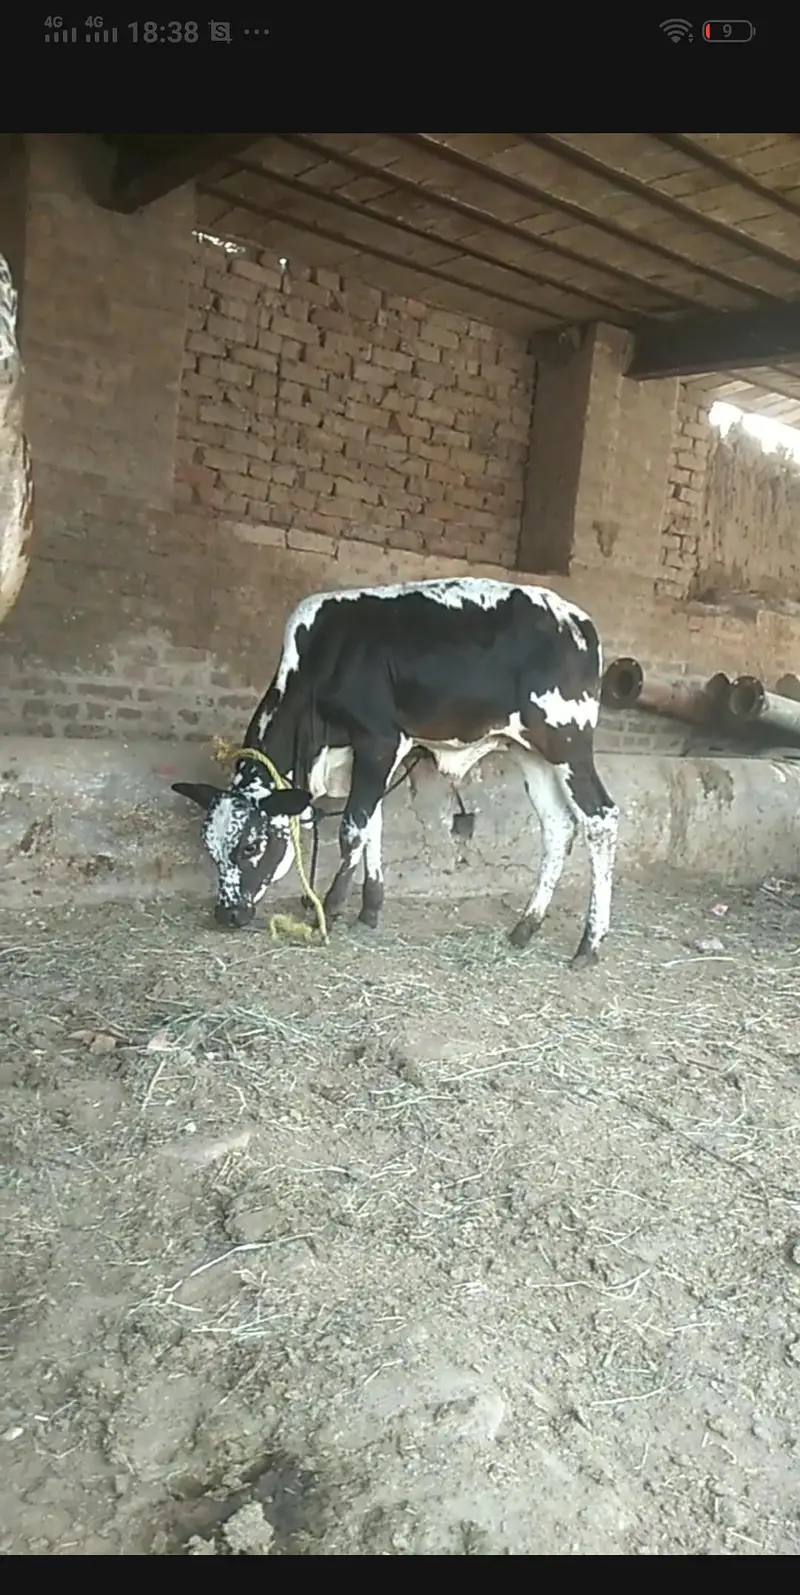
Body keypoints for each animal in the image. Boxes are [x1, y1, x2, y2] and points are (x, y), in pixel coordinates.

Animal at [172, 576, 619, 965]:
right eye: (209, 847)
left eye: (250, 846)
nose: (227, 914)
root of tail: (577, 619)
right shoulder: (367, 754)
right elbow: (374, 823)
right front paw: (370, 907)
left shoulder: (379, 741)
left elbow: (353, 826)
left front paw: (330, 908)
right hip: (530, 751)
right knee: (558, 826)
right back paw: (526, 927)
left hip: (567, 742)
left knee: (601, 818)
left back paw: (589, 944)